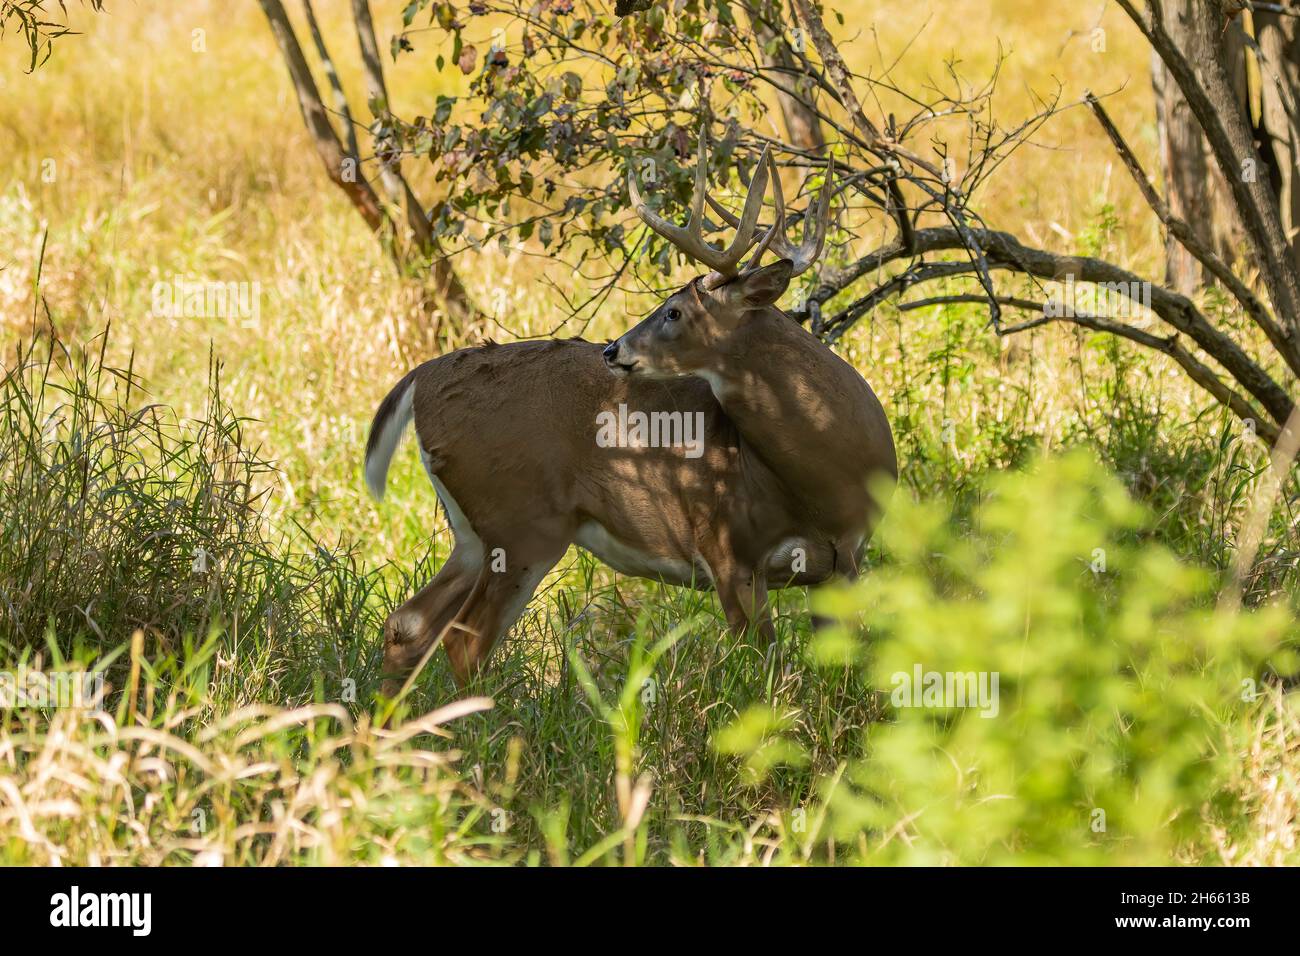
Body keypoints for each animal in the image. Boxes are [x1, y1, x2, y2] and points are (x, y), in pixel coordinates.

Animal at [365, 133, 897, 697]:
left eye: (673, 311)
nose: (612, 348)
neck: (824, 486)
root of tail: (421, 378)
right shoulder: (726, 548)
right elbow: (761, 668)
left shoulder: (844, 562)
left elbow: (838, 670)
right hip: (521, 521)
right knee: (464, 642)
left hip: (471, 533)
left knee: (408, 624)